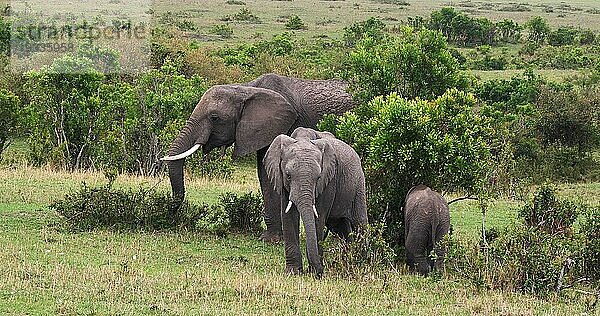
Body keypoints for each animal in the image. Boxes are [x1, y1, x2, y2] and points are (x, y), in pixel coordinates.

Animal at [161, 74, 356, 242]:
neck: (246, 88)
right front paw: (271, 238)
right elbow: (265, 174)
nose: (171, 212)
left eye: (214, 117)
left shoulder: (281, 125)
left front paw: (271, 240)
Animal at [264, 127, 368, 278]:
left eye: (318, 177)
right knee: (341, 227)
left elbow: (318, 219)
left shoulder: (329, 181)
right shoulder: (282, 183)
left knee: (360, 223)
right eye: (288, 176)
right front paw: (293, 272)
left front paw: (313, 273)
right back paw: (348, 262)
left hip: (358, 185)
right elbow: (289, 217)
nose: (320, 273)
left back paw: (362, 263)